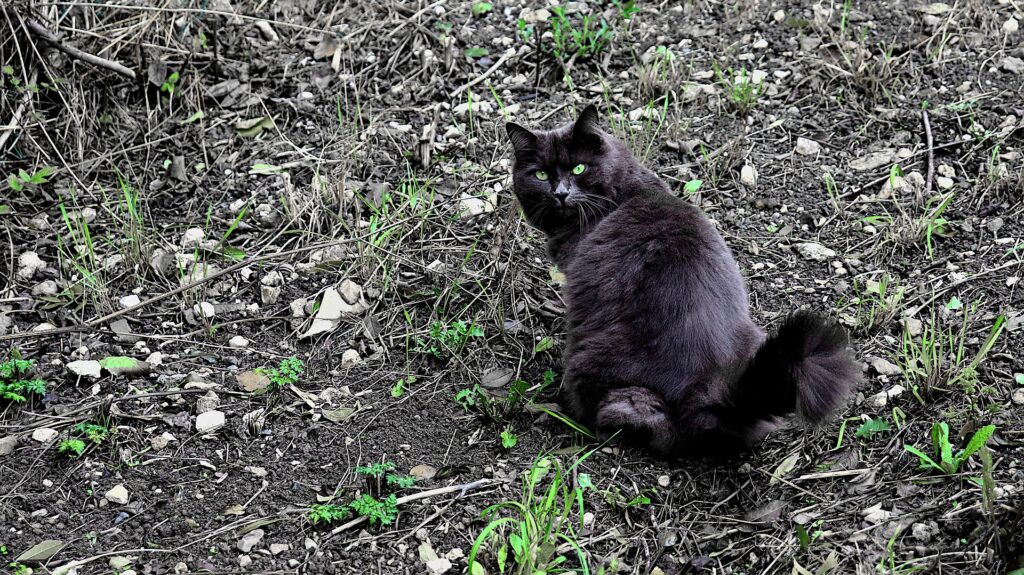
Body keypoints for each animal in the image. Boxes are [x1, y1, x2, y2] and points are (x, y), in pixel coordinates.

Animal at [503, 103, 856, 456]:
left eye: (578, 168)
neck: (620, 195)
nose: (560, 193)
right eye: (541, 174)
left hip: (595, 368)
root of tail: (711, 394)